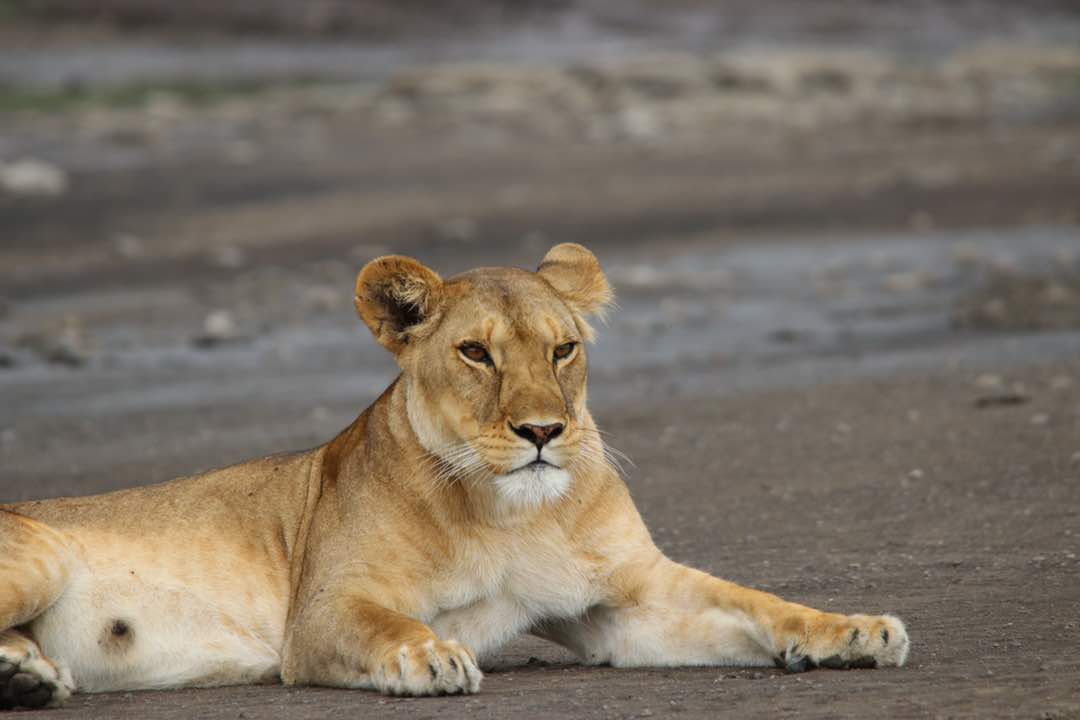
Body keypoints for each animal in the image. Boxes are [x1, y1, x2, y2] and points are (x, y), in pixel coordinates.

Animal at [0, 243, 908, 709]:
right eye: (476, 353)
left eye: (563, 348)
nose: (542, 432)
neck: (514, 513)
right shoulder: (321, 611)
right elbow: (388, 625)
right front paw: (430, 657)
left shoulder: (629, 604)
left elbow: (757, 604)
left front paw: (856, 631)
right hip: (38, 554)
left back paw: (29, 677)